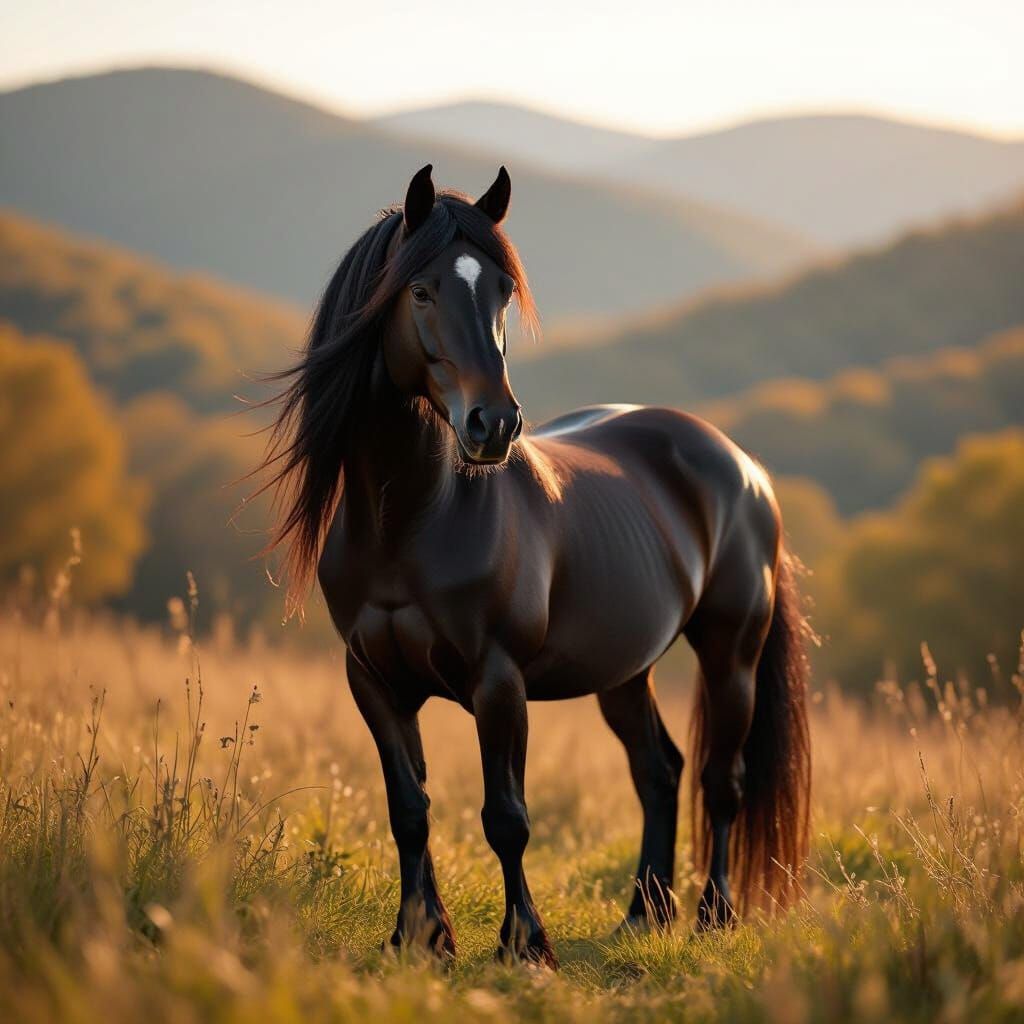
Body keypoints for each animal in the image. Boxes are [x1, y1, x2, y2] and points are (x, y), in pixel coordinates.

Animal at [258, 165, 811, 968]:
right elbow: (408, 810)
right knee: (659, 771)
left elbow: (506, 817)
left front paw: (525, 946)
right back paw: (643, 916)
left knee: (721, 781)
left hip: (730, 654)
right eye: (419, 290)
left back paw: (713, 916)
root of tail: (746, 468)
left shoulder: (498, 682)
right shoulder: (374, 682)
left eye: (501, 290)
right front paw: (418, 938)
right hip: (624, 670)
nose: (494, 425)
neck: (410, 522)